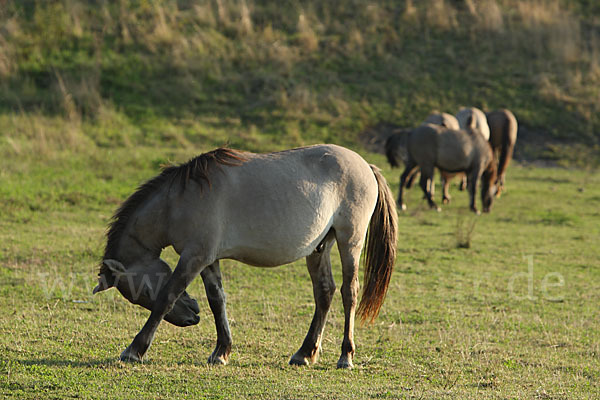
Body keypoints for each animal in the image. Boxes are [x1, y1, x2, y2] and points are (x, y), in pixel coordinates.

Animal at [92, 145, 398, 368]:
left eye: (143, 292)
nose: (192, 315)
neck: (179, 201)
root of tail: (366, 166)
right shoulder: (208, 260)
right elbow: (217, 301)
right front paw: (221, 351)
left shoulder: (193, 257)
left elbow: (167, 298)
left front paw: (134, 349)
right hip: (319, 247)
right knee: (324, 292)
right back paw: (305, 353)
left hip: (350, 243)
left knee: (349, 293)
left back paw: (346, 356)